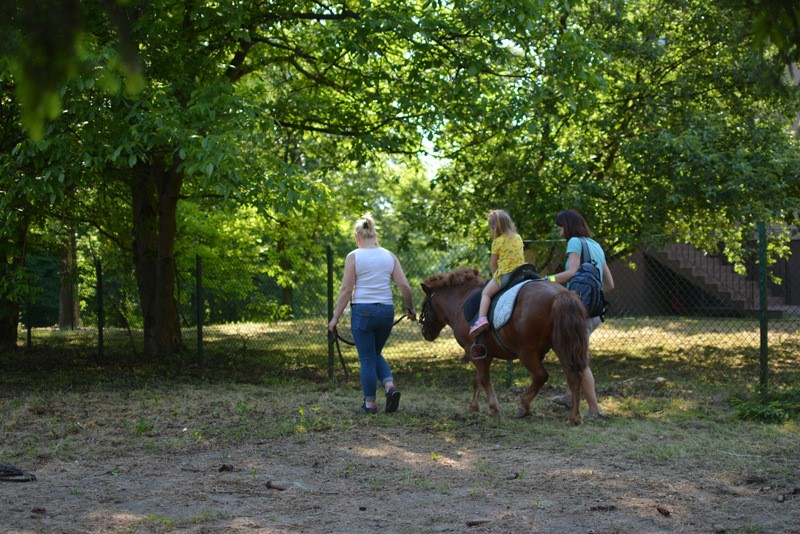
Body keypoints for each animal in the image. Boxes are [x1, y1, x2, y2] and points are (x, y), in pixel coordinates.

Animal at [419, 267, 589, 425]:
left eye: (424, 306)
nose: (425, 333)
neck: (461, 300)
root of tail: (560, 294)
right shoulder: (483, 352)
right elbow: (478, 379)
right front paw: (474, 406)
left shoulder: (473, 350)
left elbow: (484, 379)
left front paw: (493, 409)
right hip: (562, 346)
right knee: (573, 375)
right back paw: (575, 417)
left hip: (527, 352)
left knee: (541, 376)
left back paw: (524, 406)